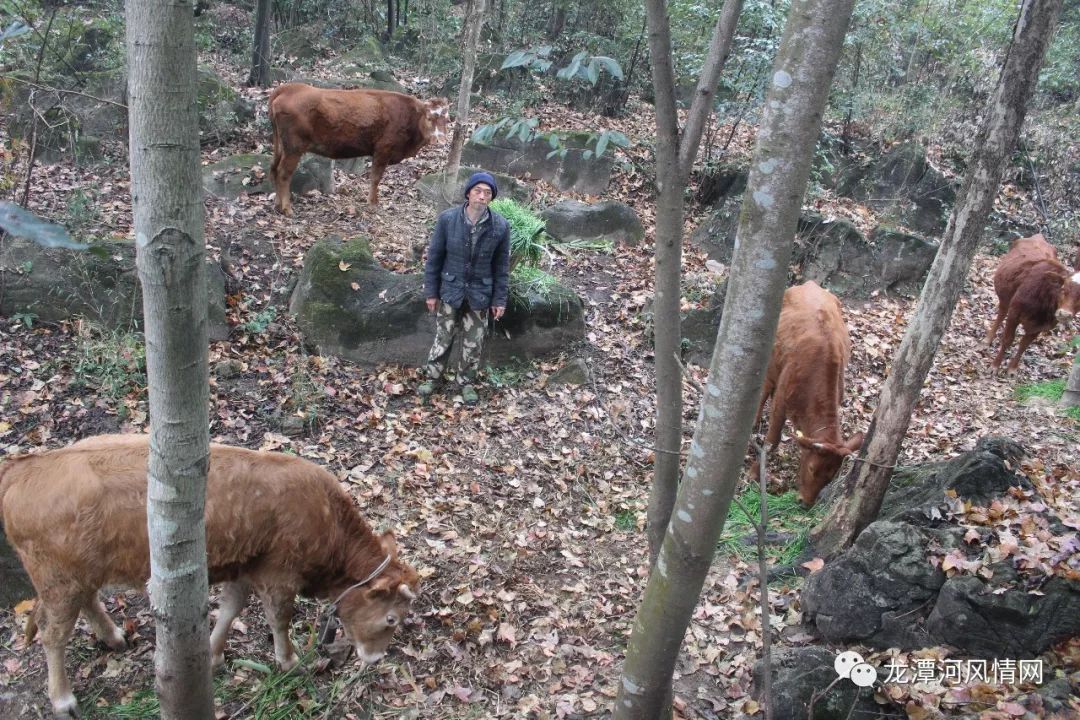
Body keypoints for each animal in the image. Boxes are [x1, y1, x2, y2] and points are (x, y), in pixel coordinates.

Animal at [0, 436, 419, 716]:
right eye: (391, 619)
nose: (376, 659)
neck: (326, 520)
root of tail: (24, 466)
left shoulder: (247, 567)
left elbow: (231, 609)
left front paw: (214, 654)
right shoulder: (279, 575)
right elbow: (279, 619)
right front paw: (289, 661)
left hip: (79, 574)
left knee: (86, 602)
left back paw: (114, 637)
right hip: (58, 579)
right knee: (53, 634)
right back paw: (62, 698)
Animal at [272, 83, 453, 215]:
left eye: (448, 120)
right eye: (429, 118)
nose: (440, 140)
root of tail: (289, 87)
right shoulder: (383, 149)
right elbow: (375, 178)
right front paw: (372, 203)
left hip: (281, 146)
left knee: (274, 168)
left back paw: (277, 204)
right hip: (294, 147)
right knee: (284, 173)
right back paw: (287, 208)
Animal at [756, 280, 864, 507]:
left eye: (831, 476)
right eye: (813, 468)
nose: (806, 502)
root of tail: (810, 284)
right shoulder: (781, 403)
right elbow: (772, 441)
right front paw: (754, 474)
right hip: (772, 361)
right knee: (765, 387)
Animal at [989, 235, 1080, 375]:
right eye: (1063, 288)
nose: (1064, 314)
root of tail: (1038, 236)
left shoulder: (1041, 327)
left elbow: (1023, 346)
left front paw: (1012, 369)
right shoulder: (1014, 313)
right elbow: (1008, 339)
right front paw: (995, 366)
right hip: (1005, 297)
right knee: (1001, 314)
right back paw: (986, 341)